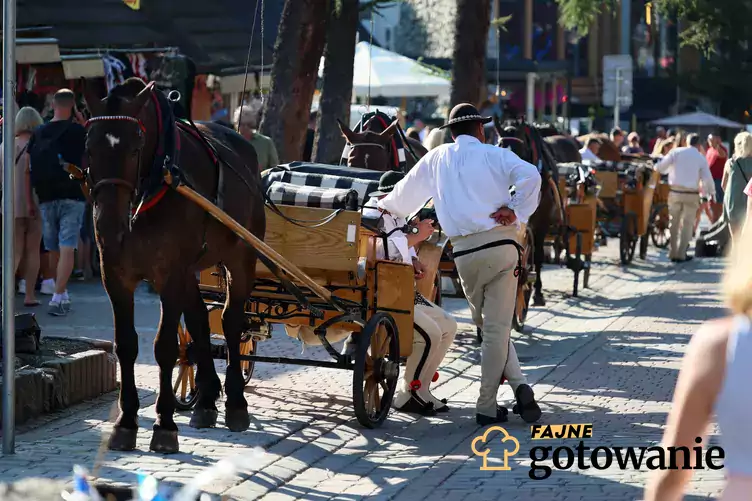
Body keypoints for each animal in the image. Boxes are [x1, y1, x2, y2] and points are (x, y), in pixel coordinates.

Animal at [81, 78, 264, 454]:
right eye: (89, 147)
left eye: (134, 148)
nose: (108, 225)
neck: (156, 183)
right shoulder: (115, 275)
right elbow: (126, 345)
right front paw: (127, 420)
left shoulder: (170, 276)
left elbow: (164, 347)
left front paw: (164, 424)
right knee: (198, 319)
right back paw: (206, 400)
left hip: (241, 258)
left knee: (230, 321)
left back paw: (236, 402)